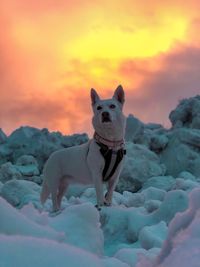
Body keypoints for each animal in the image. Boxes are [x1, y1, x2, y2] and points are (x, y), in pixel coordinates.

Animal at [39, 85, 126, 213]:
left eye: (112, 106)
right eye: (99, 108)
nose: (105, 114)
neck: (110, 144)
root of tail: (50, 157)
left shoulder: (115, 176)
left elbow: (109, 193)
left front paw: (108, 205)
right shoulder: (97, 174)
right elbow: (100, 194)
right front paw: (100, 206)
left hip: (65, 183)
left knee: (59, 196)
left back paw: (60, 211)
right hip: (53, 181)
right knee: (54, 197)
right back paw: (55, 211)